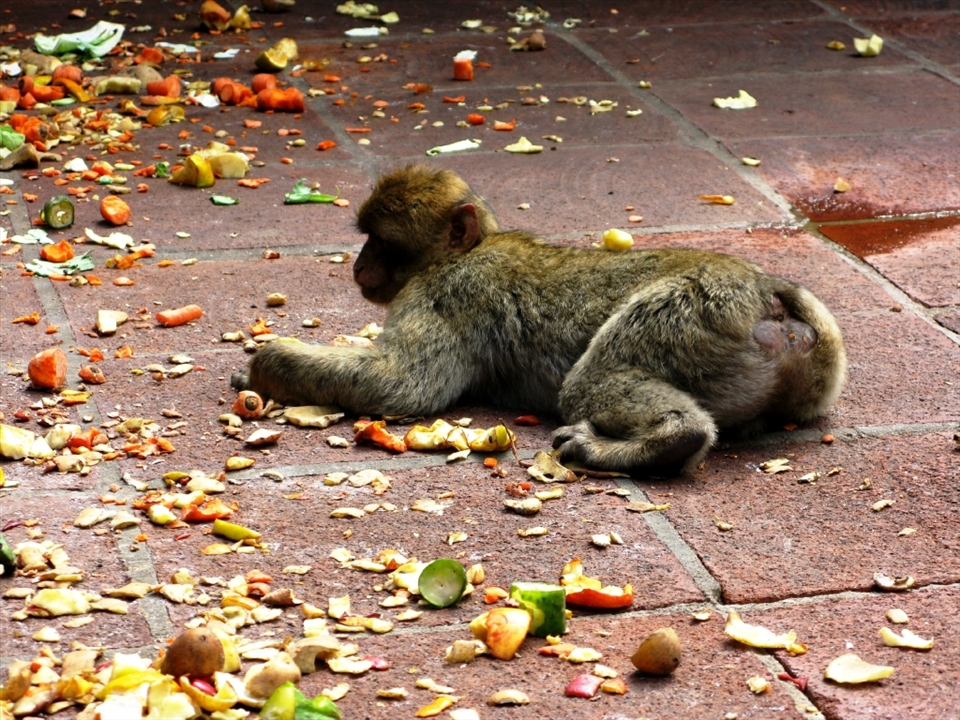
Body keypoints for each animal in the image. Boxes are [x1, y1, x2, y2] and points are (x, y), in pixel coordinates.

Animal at [233, 165, 846, 476]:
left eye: (382, 243)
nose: (360, 265)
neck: (463, 252)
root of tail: (769, 293)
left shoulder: (446, 297)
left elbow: (402, 385)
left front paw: (266, 366)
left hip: (701, 310)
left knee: (593, 379)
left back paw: (665, 442)